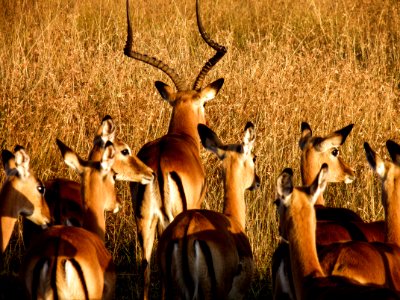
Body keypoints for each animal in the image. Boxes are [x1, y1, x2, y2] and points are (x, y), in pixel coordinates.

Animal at [123, 0, 227, 298]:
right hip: (173, 218)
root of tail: (159, 166)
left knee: (146, 267)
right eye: (203, 104)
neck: (181, 137)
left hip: (144, 220)